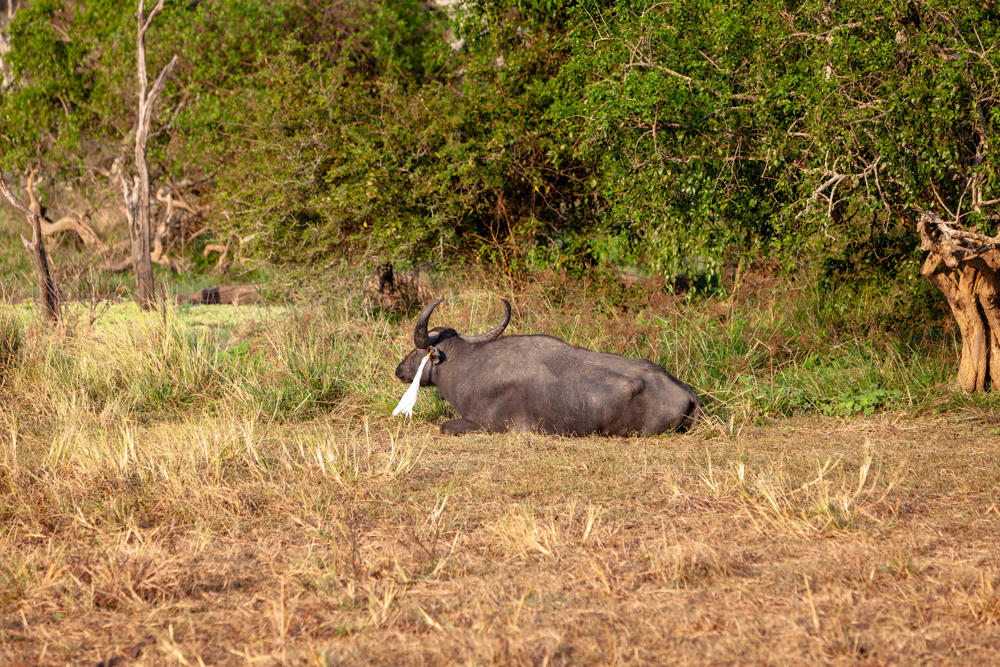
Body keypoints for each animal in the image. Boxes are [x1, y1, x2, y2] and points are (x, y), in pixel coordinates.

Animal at [394, 298, 702, 436]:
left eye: (418, 350)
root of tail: (686, 391)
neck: (468, 365)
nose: (399, 370)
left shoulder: (484, 424)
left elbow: (445, 426)